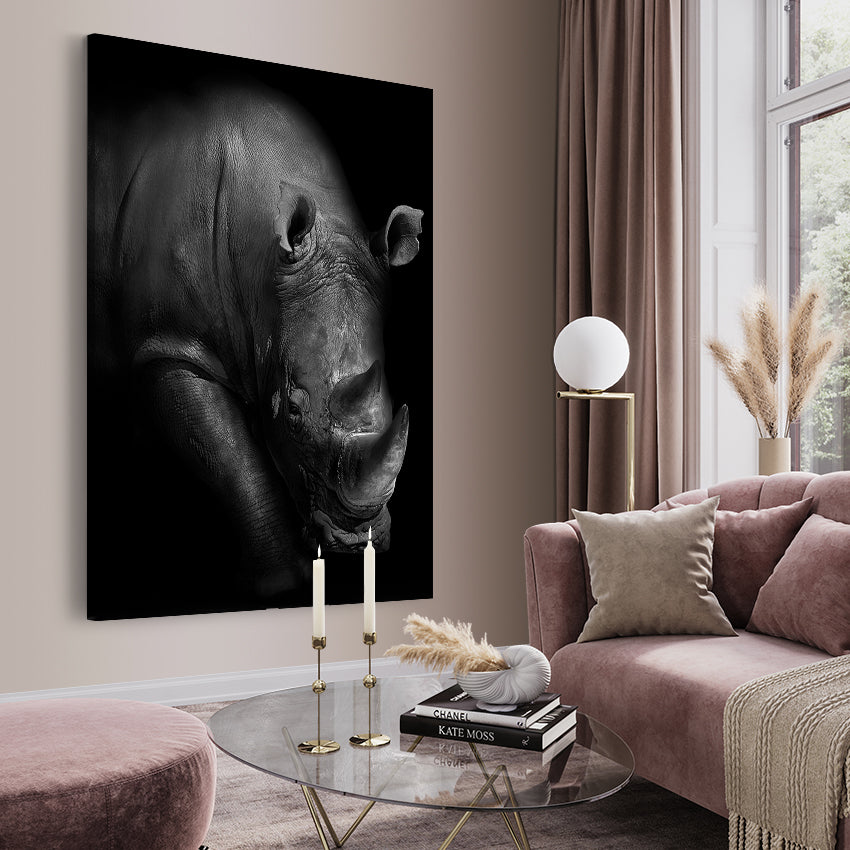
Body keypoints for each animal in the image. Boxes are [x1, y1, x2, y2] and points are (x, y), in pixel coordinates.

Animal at [88, 84, 423, 602]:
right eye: (292, 409)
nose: (354, 539)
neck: (261, 265)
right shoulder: (170, 345)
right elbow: (231, 458)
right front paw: (278, 587)